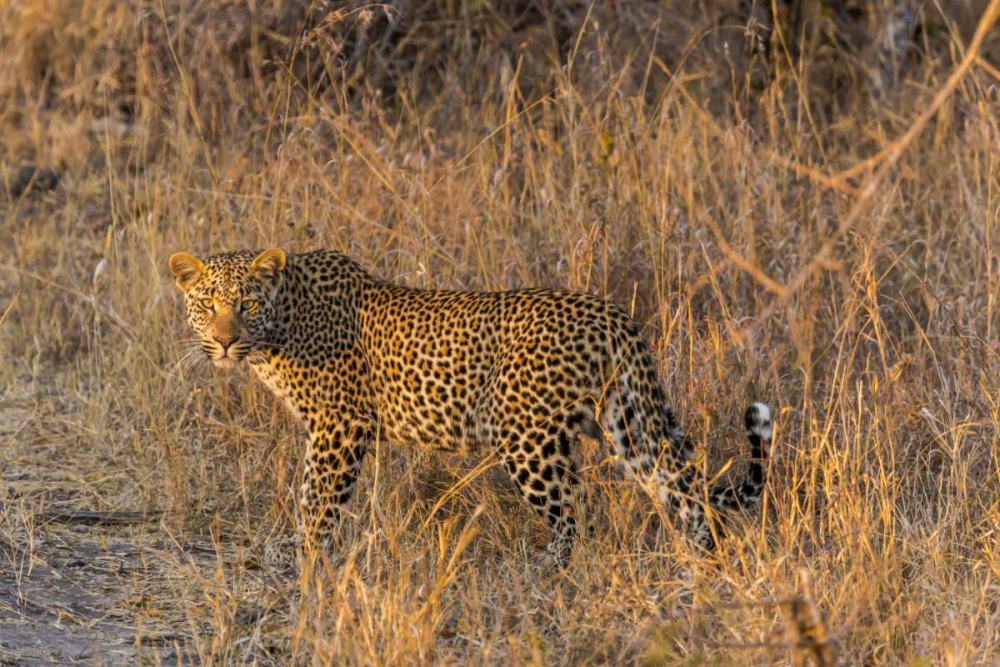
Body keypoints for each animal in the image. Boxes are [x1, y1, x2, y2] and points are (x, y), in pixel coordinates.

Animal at [168, 247, 772, 568]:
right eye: (208, 304)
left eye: (246, 304)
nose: (224, 341)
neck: (280, 328)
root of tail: (614, 315)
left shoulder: (340, 426)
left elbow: (316, 495)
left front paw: (305, 552)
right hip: (627, 423)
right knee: (680, 486)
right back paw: (702, 561)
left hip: (530, 440)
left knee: (574, 514)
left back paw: (548, 568)